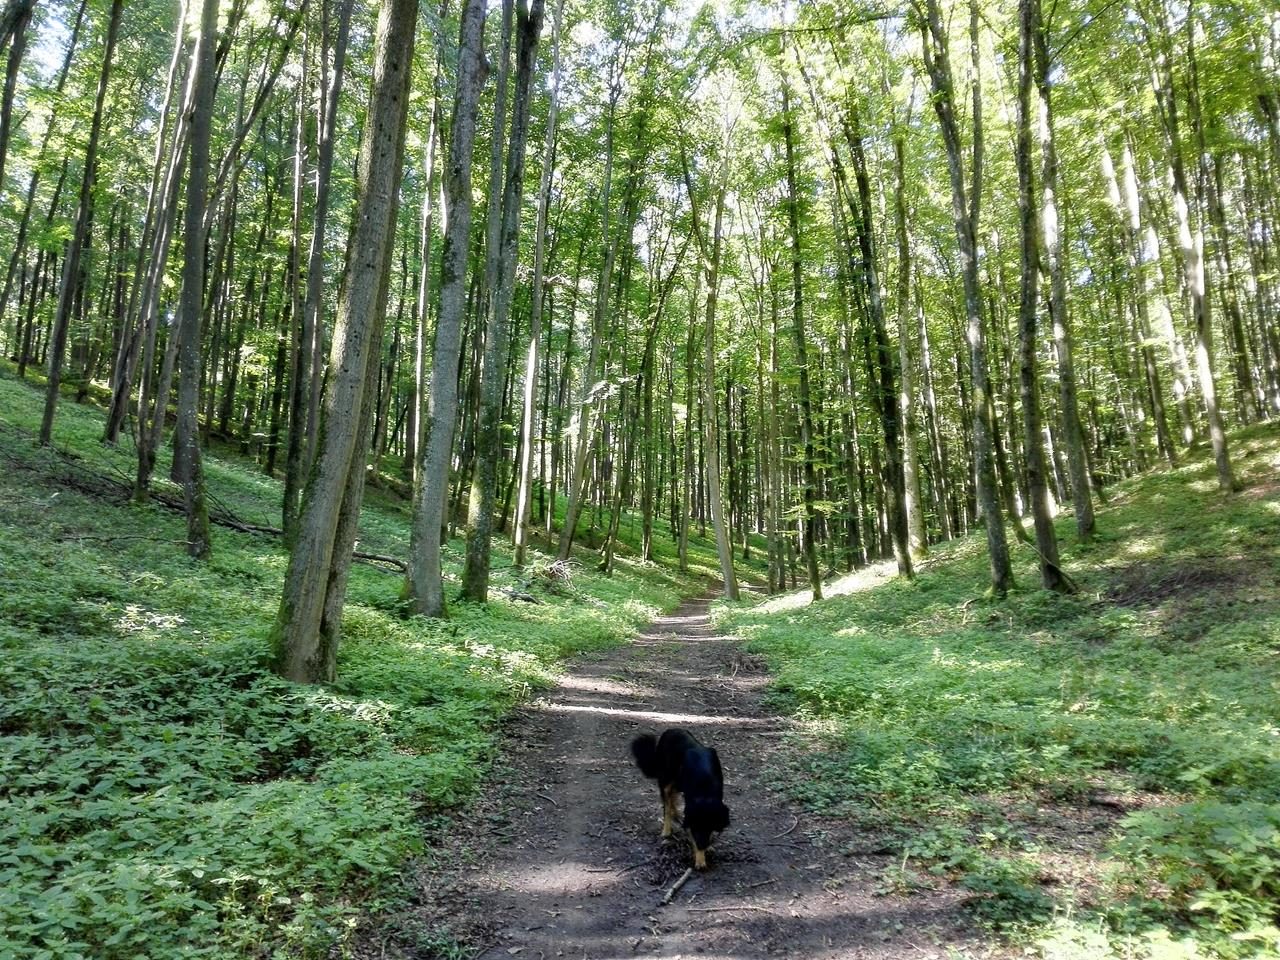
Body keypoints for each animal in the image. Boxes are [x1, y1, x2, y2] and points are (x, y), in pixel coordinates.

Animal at [632, 727, 732, 870]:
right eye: (696, 830)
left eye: (709, 827)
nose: (702, 846)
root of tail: (671, 729)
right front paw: (700, 859)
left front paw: (708, 847)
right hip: (666, 778)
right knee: (667, 804)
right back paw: (667, 829)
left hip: (677, 783)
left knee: (672, 799)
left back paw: (676, 814)